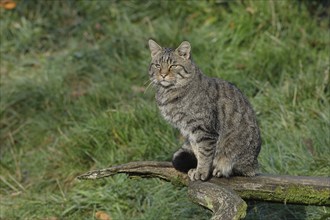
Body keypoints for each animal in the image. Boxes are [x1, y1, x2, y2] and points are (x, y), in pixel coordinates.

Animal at [148, 39, 262, 180]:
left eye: (173, 66)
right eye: (157, 65)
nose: (163, 74)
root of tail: (255, 164)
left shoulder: (204, 130)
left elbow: (205, 154)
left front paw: (201, 172)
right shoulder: (190, 133)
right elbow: (198, 152)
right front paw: (199, 169)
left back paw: (221, 170)